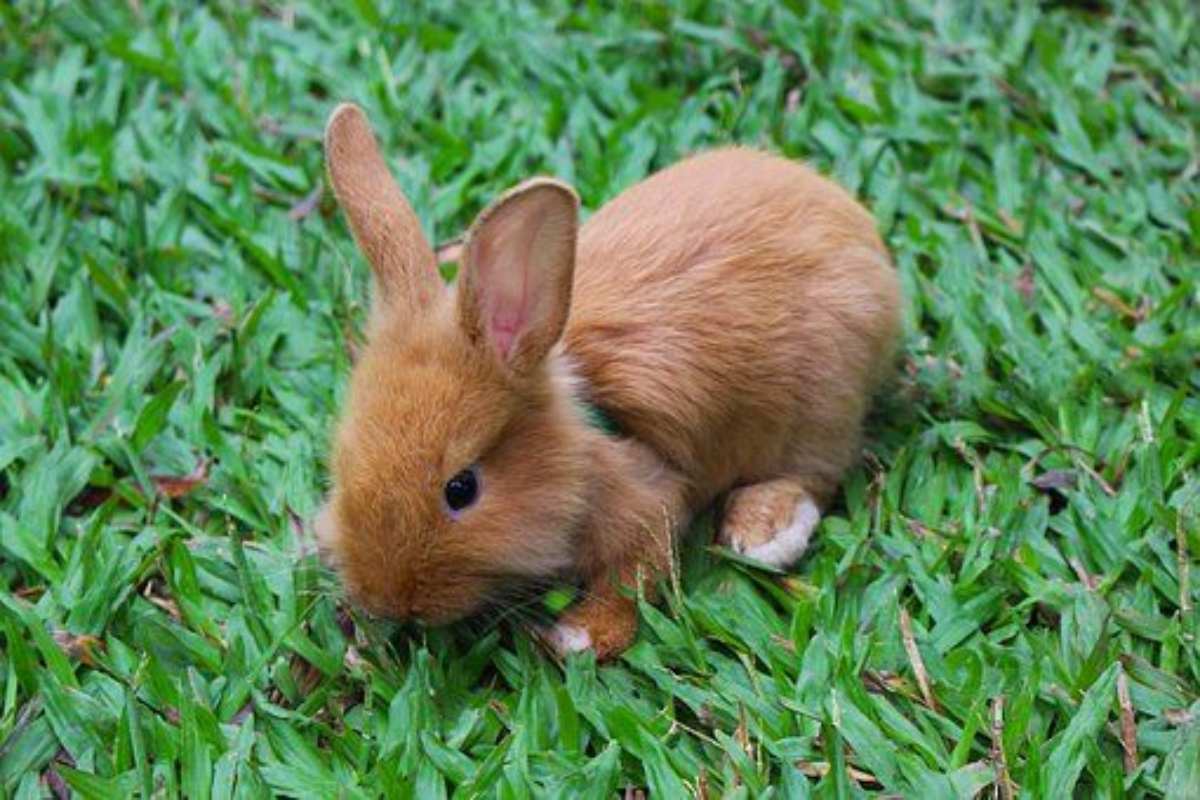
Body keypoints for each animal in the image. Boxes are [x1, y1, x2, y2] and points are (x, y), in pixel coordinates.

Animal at [316, 103, 902, 662]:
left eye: (462, 488)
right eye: (342, 463)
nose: (386, 600)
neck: (580, 448)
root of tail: (854, 225)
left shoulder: (651, 504)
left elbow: (631, 581)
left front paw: (577, 637)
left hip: (820, 402)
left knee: (814, 471)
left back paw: (762, 533)